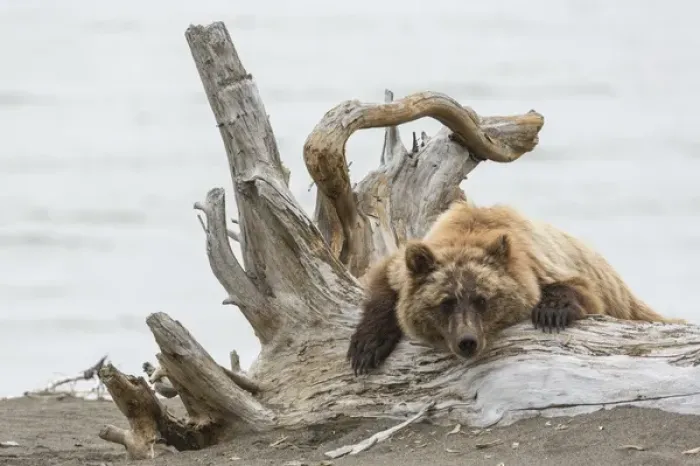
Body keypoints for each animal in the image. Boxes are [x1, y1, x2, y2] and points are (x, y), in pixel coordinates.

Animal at [347, 199, 685, 376]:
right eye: (446, 302)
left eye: (482, 299)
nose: (467, 341)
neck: (468, 233)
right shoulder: (407, 262)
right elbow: (382, 281)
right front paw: (366, 348)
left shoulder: (540, 261)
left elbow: (580, 290)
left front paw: (551, 312)